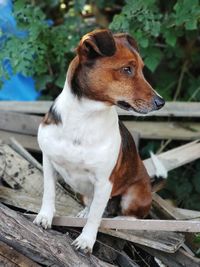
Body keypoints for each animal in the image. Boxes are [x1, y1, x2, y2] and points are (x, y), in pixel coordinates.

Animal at [33, 29, 165, 253]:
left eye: (141, 69)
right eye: (127, 69)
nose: (161, 102)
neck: (85, 117)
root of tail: (150, 186)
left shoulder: (104, 182)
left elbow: (95, 217)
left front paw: (86, 240)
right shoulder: (48, 162)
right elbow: (49, 193)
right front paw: (45, 217)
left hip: (133, 194)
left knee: (133, 216)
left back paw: (120, 220)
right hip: (87, 192)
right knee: (92, 203)